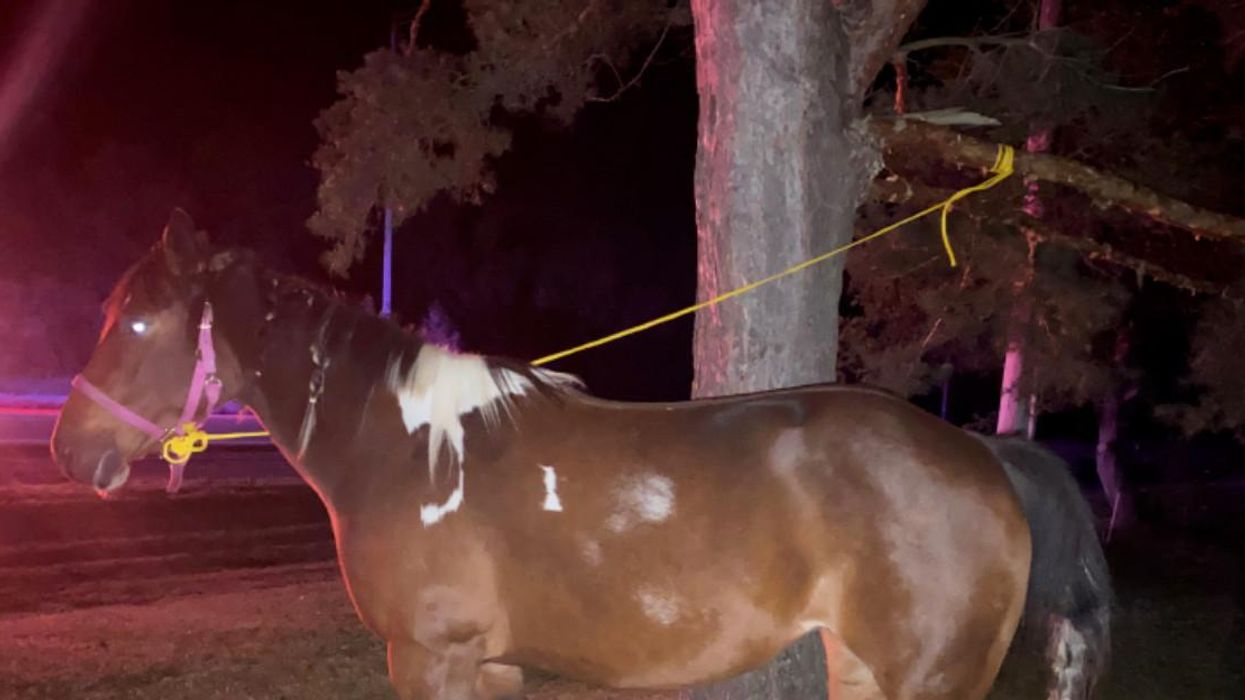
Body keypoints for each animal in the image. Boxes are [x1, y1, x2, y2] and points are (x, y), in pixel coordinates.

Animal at [51, 210, 1111, 700]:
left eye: (137, 320)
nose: (69, 450)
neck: (412, 451)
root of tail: (983, 453)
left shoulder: (428, 657)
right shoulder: (490, 666)